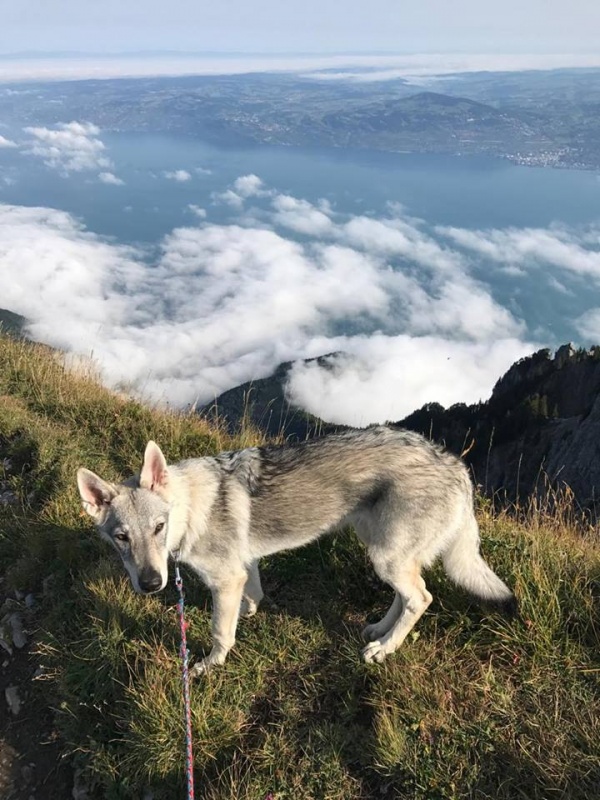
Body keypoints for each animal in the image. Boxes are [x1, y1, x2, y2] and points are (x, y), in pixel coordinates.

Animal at [76, 428, 516, 672]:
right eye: (121, 538)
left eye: (159, 528)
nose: (151, 584)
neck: (191, 509)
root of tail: (457, 466)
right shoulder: (243, 567)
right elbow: (252, 595)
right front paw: (249, 613)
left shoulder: (225, 578)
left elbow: (220, 633)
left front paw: (209, 666)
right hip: (384, 553)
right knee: (406, 595)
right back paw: (378, 630)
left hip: (387, 557)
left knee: (421, 597)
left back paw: (383, 649)